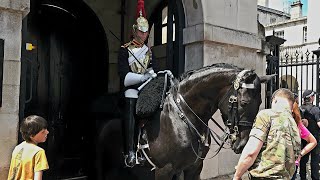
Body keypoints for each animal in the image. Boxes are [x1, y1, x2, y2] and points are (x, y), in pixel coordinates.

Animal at [97, 63, 272, 180]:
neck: (184, 117)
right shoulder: (164, 170)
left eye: (260, 102)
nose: (242, 145)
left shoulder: (193, 168)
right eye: (244, 103)